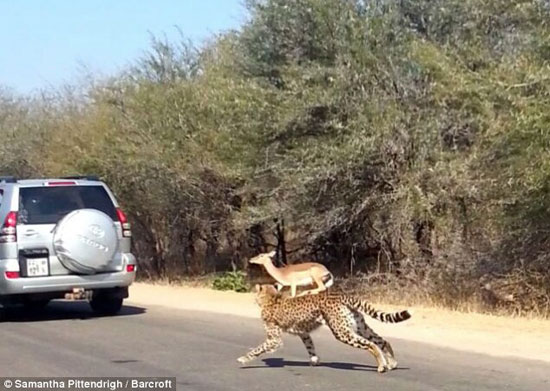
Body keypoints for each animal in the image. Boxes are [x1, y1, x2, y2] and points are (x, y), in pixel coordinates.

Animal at [238, 284, 414, 374]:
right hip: (359, 326)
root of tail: (338, 294)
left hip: (341, 331)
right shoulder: (303, 333)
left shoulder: (274, 339)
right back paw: (392, 364)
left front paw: (244, 359)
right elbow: (310, 347)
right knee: (383, 341)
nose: (253, 295)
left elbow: (258, 349)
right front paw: (314, 361)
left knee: (371, 345)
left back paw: (382, 366)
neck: (272, 298)